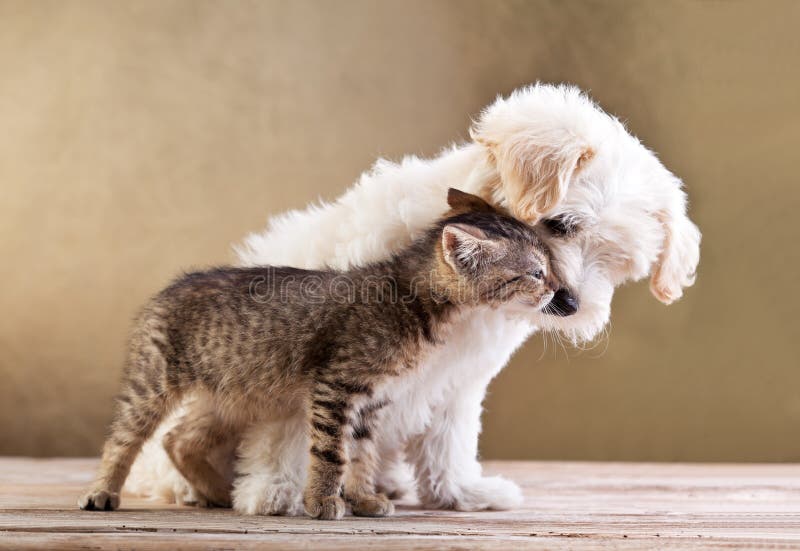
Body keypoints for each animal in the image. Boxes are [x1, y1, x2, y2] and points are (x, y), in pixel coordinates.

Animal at [78, 188, 560, 520]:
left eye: (548, 267)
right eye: (536, 273)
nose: (558, 291)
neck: (415, 303)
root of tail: (171, 286)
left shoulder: (373, 401)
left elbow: (362, 455)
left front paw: (364, 497)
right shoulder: (336, 386)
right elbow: (332, 453)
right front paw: (324, 500)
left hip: (234, 395)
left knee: (178, 439)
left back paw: (217, 493)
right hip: (153, 382)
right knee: (124, 437)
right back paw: (102, 492)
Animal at [125, 84, 700, 516]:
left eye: (617, 263)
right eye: (560, 225)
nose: (573, 304)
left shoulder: (459, 378)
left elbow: (449, 436)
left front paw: (460, 491)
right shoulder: (317, 354)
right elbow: (293, 428)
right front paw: (278, 490)